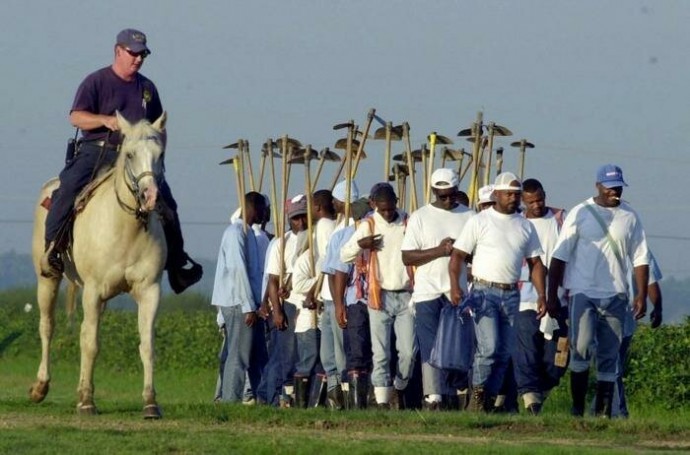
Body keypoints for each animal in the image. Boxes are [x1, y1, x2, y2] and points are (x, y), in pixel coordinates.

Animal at [29, 113, 169, 420]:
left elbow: (147, 345)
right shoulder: (92, 291)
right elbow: (90, 344)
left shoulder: (150, 291)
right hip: (47, 279)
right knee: (48, 327)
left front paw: (151, 402)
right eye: (129, 154)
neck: (126, 228)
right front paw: (86, 402)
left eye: (160, 154)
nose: (151, 196)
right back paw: (40, 387)